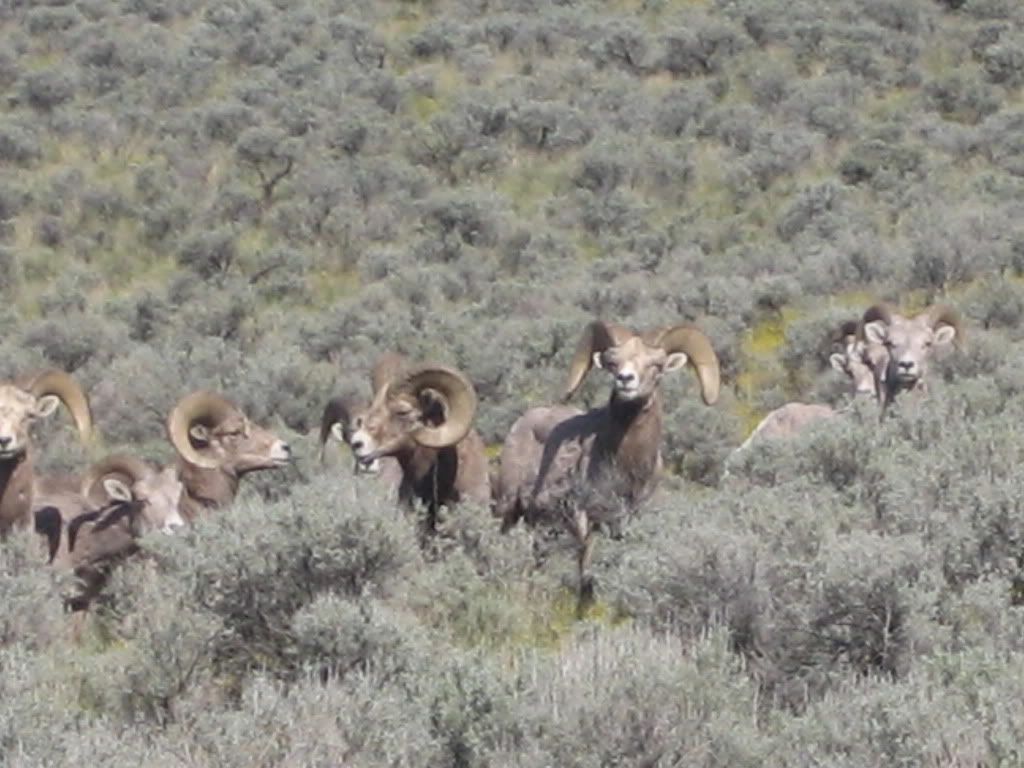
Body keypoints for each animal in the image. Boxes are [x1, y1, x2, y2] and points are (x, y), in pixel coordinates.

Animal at [494, 320, 720, 611]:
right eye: (613, 362)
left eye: (656, 365)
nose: (625, 379)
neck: (625, 465)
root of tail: (523, 422)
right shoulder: (585, 518)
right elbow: (585, 566)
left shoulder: (626, 518)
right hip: (510, 507)